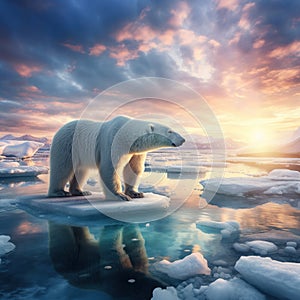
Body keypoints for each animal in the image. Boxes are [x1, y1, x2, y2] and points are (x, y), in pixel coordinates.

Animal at [47, 116, 184, 200]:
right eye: (170, 131)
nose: (183, 139)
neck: (127, 135)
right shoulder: (113, 140)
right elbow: (110, 167)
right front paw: (120, 195)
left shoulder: (135, 151)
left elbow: (134, 168)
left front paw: (136, 193)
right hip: (67, 144)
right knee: (62, 168)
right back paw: (59, 192)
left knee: (81, 170)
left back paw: (81, 191)